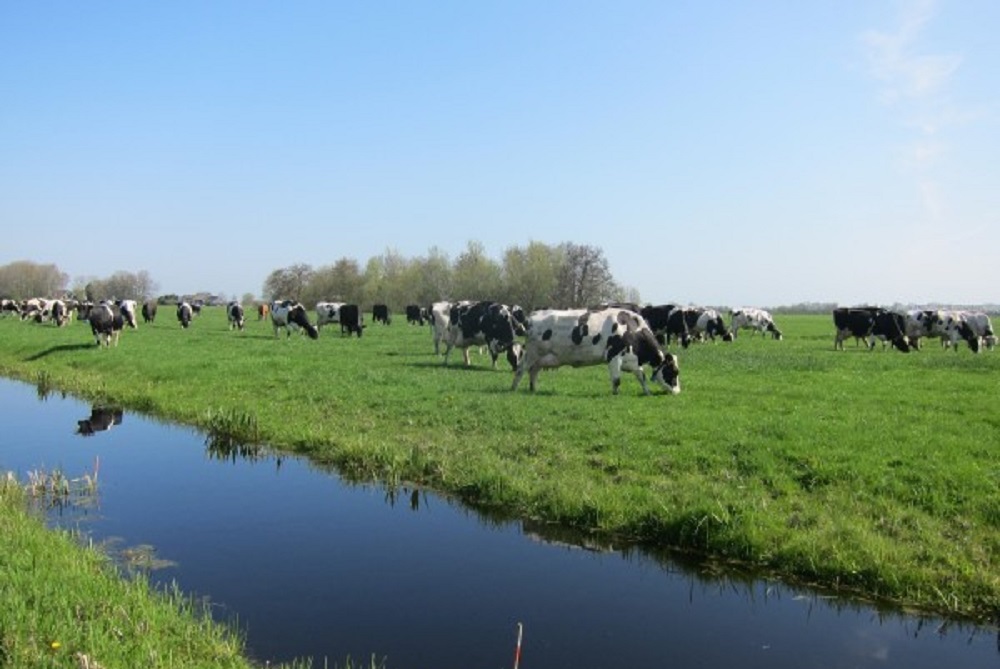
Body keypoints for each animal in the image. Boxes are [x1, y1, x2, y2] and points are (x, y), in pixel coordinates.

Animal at [516, 306, 680, 394]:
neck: (631, 329)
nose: (677, 392)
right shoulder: (614, 356)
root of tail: (533, 315)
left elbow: (642, 376)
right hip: (531, 354)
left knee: (533, 371)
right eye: (673, 371)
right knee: (520, 369)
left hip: (539, 359)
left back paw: (533, 389)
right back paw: (514, 388)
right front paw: (615, 394)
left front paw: (647, 392)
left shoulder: (632, 360)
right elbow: (617, 379)